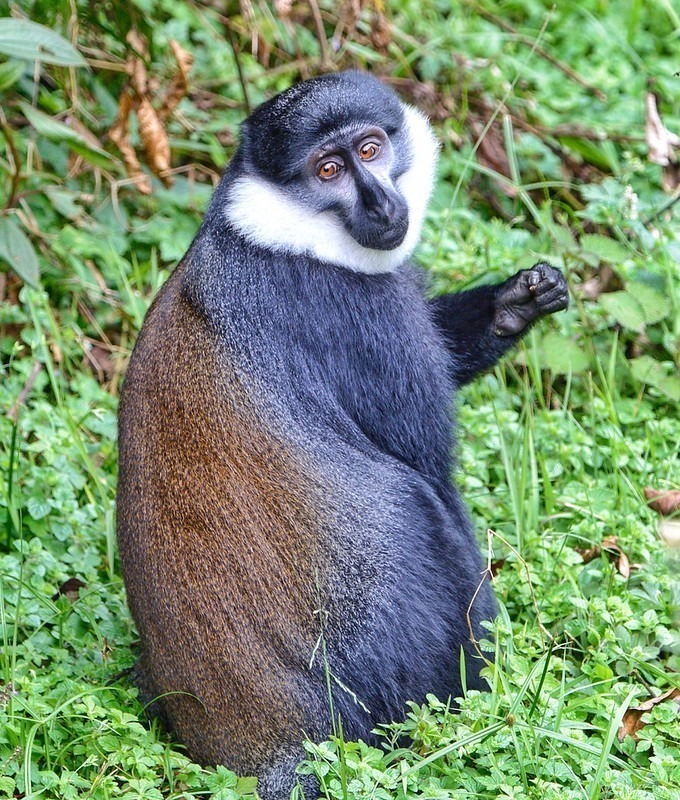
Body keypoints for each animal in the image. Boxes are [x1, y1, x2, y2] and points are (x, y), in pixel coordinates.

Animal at [116, 70, 569, 800]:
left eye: (371, 147)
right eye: (328, 169)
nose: (381, 200)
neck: (280, 232)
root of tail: (265, 755)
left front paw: (516, 302)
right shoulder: (359, 317)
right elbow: (431, 469)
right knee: (424, 516)